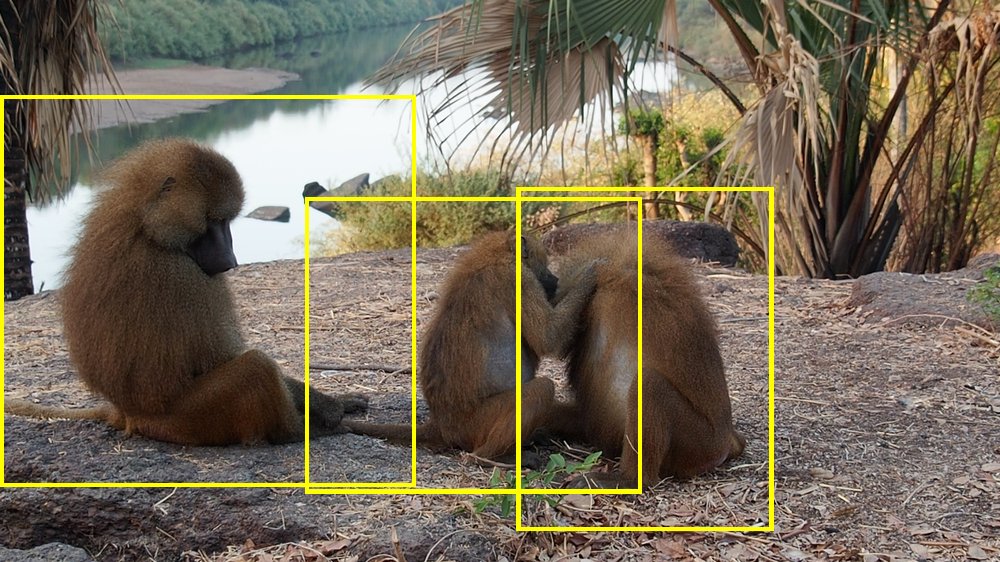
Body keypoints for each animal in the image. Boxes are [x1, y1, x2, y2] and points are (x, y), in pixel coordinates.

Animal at [4, 138, 366, 446]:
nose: (230, 259)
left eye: (227, 222)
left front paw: (335, 402)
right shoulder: (186, 275)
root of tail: (128, 414)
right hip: (188, 420)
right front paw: (325, 412)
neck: (145, 225)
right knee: (255, 368)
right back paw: (299, 433)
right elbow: (222, 356)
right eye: (215, 221)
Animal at [344, 230, 597, 461]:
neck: (495, 256)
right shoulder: (518, 279)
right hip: (477, 423)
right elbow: (548, 339)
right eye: (543, 264)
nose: (554, 280)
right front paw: (590, 273)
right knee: (542, 388)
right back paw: (495, 457)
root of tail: (441, 424)